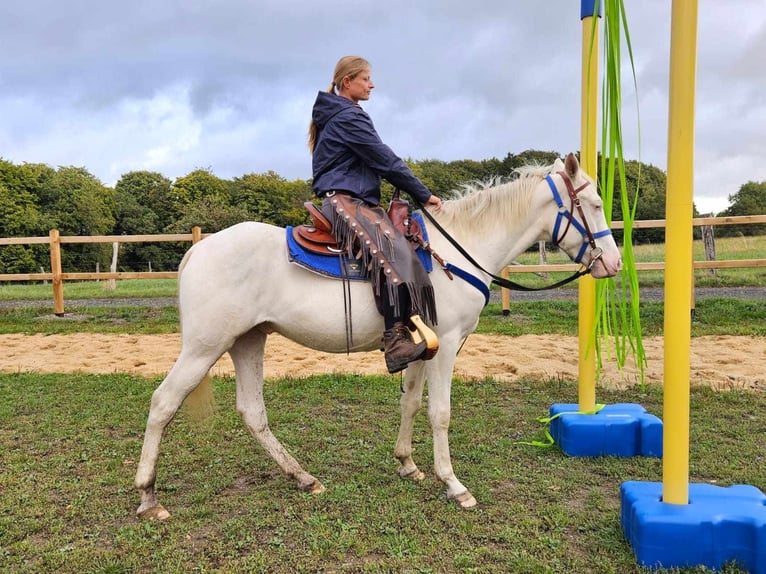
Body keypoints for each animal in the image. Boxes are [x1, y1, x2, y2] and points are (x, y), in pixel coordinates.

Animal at [132, 153, 624, 520]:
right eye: (594, 204)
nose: (614, 263)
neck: (459, 248)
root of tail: (199, 248)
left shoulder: (424, 346)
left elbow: (410, 403)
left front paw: (407, 464)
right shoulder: (447, 345)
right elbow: (440, 413)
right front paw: (454, 484)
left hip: (248, 340)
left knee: (252, 412)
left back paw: (304, 478)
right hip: (204, 347)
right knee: (162, 403)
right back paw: (149, 497)